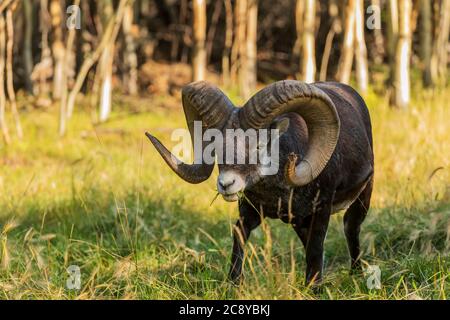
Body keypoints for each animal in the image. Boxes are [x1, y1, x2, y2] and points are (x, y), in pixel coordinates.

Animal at [146, 80, 374, 284]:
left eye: (258, 146)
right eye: (217, 147)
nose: (226, 184)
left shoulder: (321, 210)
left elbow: (315, 249)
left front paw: (313, 287)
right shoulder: (251, 212)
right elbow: (239, 236)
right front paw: (234, 283)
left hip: (361, 200)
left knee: (350, 228)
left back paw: (356, 275)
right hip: (298, 222)